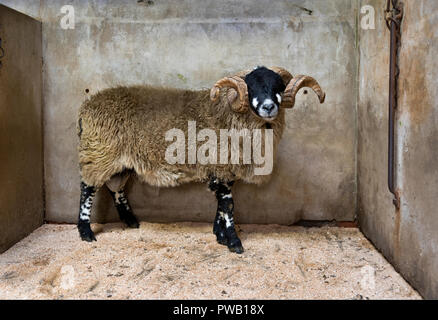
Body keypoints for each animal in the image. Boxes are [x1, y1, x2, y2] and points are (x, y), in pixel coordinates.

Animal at [77, 66, 326, 254]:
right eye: (251, 86)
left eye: (278, 86)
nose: (268, 107)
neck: (230, 115)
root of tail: (86, 107)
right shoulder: (221, 165)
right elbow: (228, 204)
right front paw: (234, 242)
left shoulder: (223, 169)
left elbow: (221, 203)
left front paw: (220, 235)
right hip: (98, 152)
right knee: (88, 188)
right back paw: (86, 232)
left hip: (120, 160)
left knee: (116, 188)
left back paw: (131, 222)